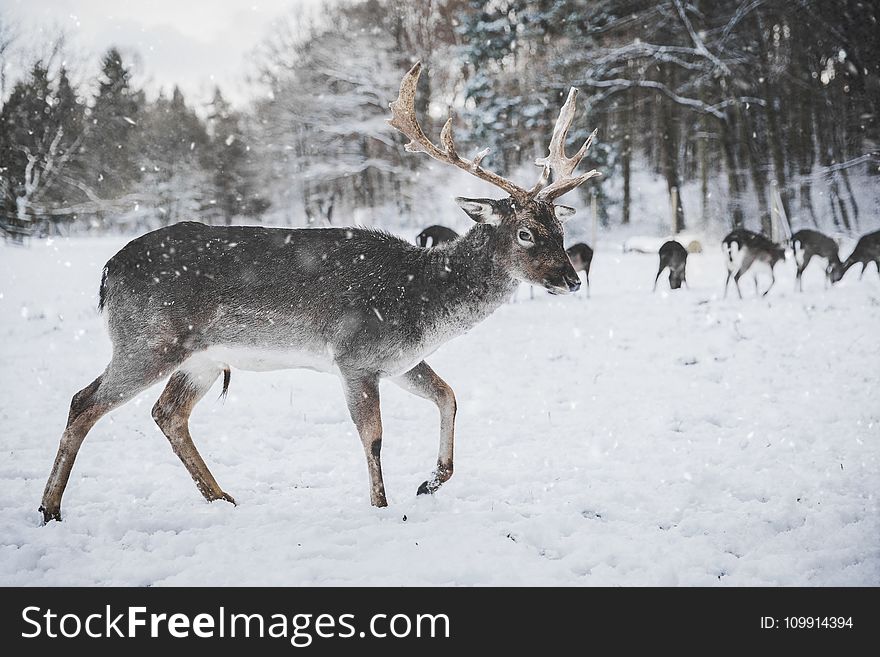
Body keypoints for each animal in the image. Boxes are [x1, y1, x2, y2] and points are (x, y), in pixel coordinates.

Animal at [37, 61, 600, 524]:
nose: (570, 279)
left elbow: (449, 396)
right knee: (83, 401)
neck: (424, 303)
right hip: (148, 339)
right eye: (525, 232)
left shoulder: (399, 360)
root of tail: (108, 271)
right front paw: (381, 507)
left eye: (559, 226)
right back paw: (50, 508)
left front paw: (430, 482)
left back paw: (222, 498)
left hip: (200, 358)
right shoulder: (356, 355)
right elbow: (373, 437)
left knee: (167, 413)